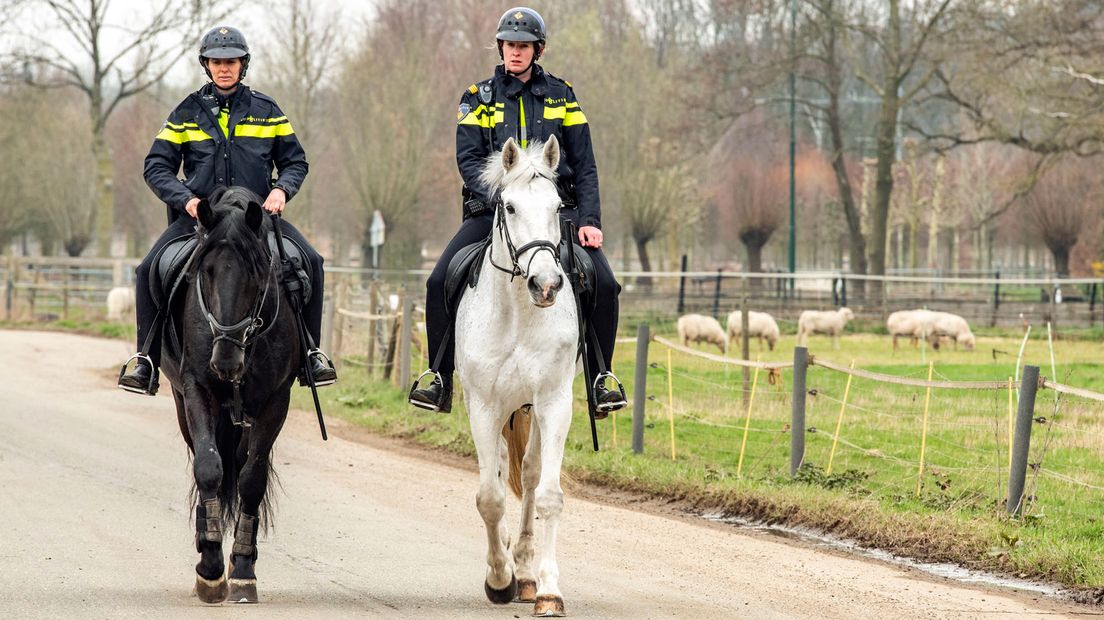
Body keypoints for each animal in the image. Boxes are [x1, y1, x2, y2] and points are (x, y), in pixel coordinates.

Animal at [158, 185, 298, 600]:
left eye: (256, 274)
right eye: (205, 272)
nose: (226, 361)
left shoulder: (275, 400)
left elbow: (252, 479)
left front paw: (243, 570)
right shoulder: (196, 389)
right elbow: (208, 468)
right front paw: (210, 567)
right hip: (184, 403)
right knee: (208, 462)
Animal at [454, 135, 578, 613]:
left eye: (558, 205)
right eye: (507, 206)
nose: (545, 285)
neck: (518, 317)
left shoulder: (554, 402)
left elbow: (547, 494)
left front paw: (546, 588)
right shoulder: (483, 406)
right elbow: (489, 498)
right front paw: (498, 579)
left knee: (527, 474)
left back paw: (524, 569)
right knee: (501, 474)